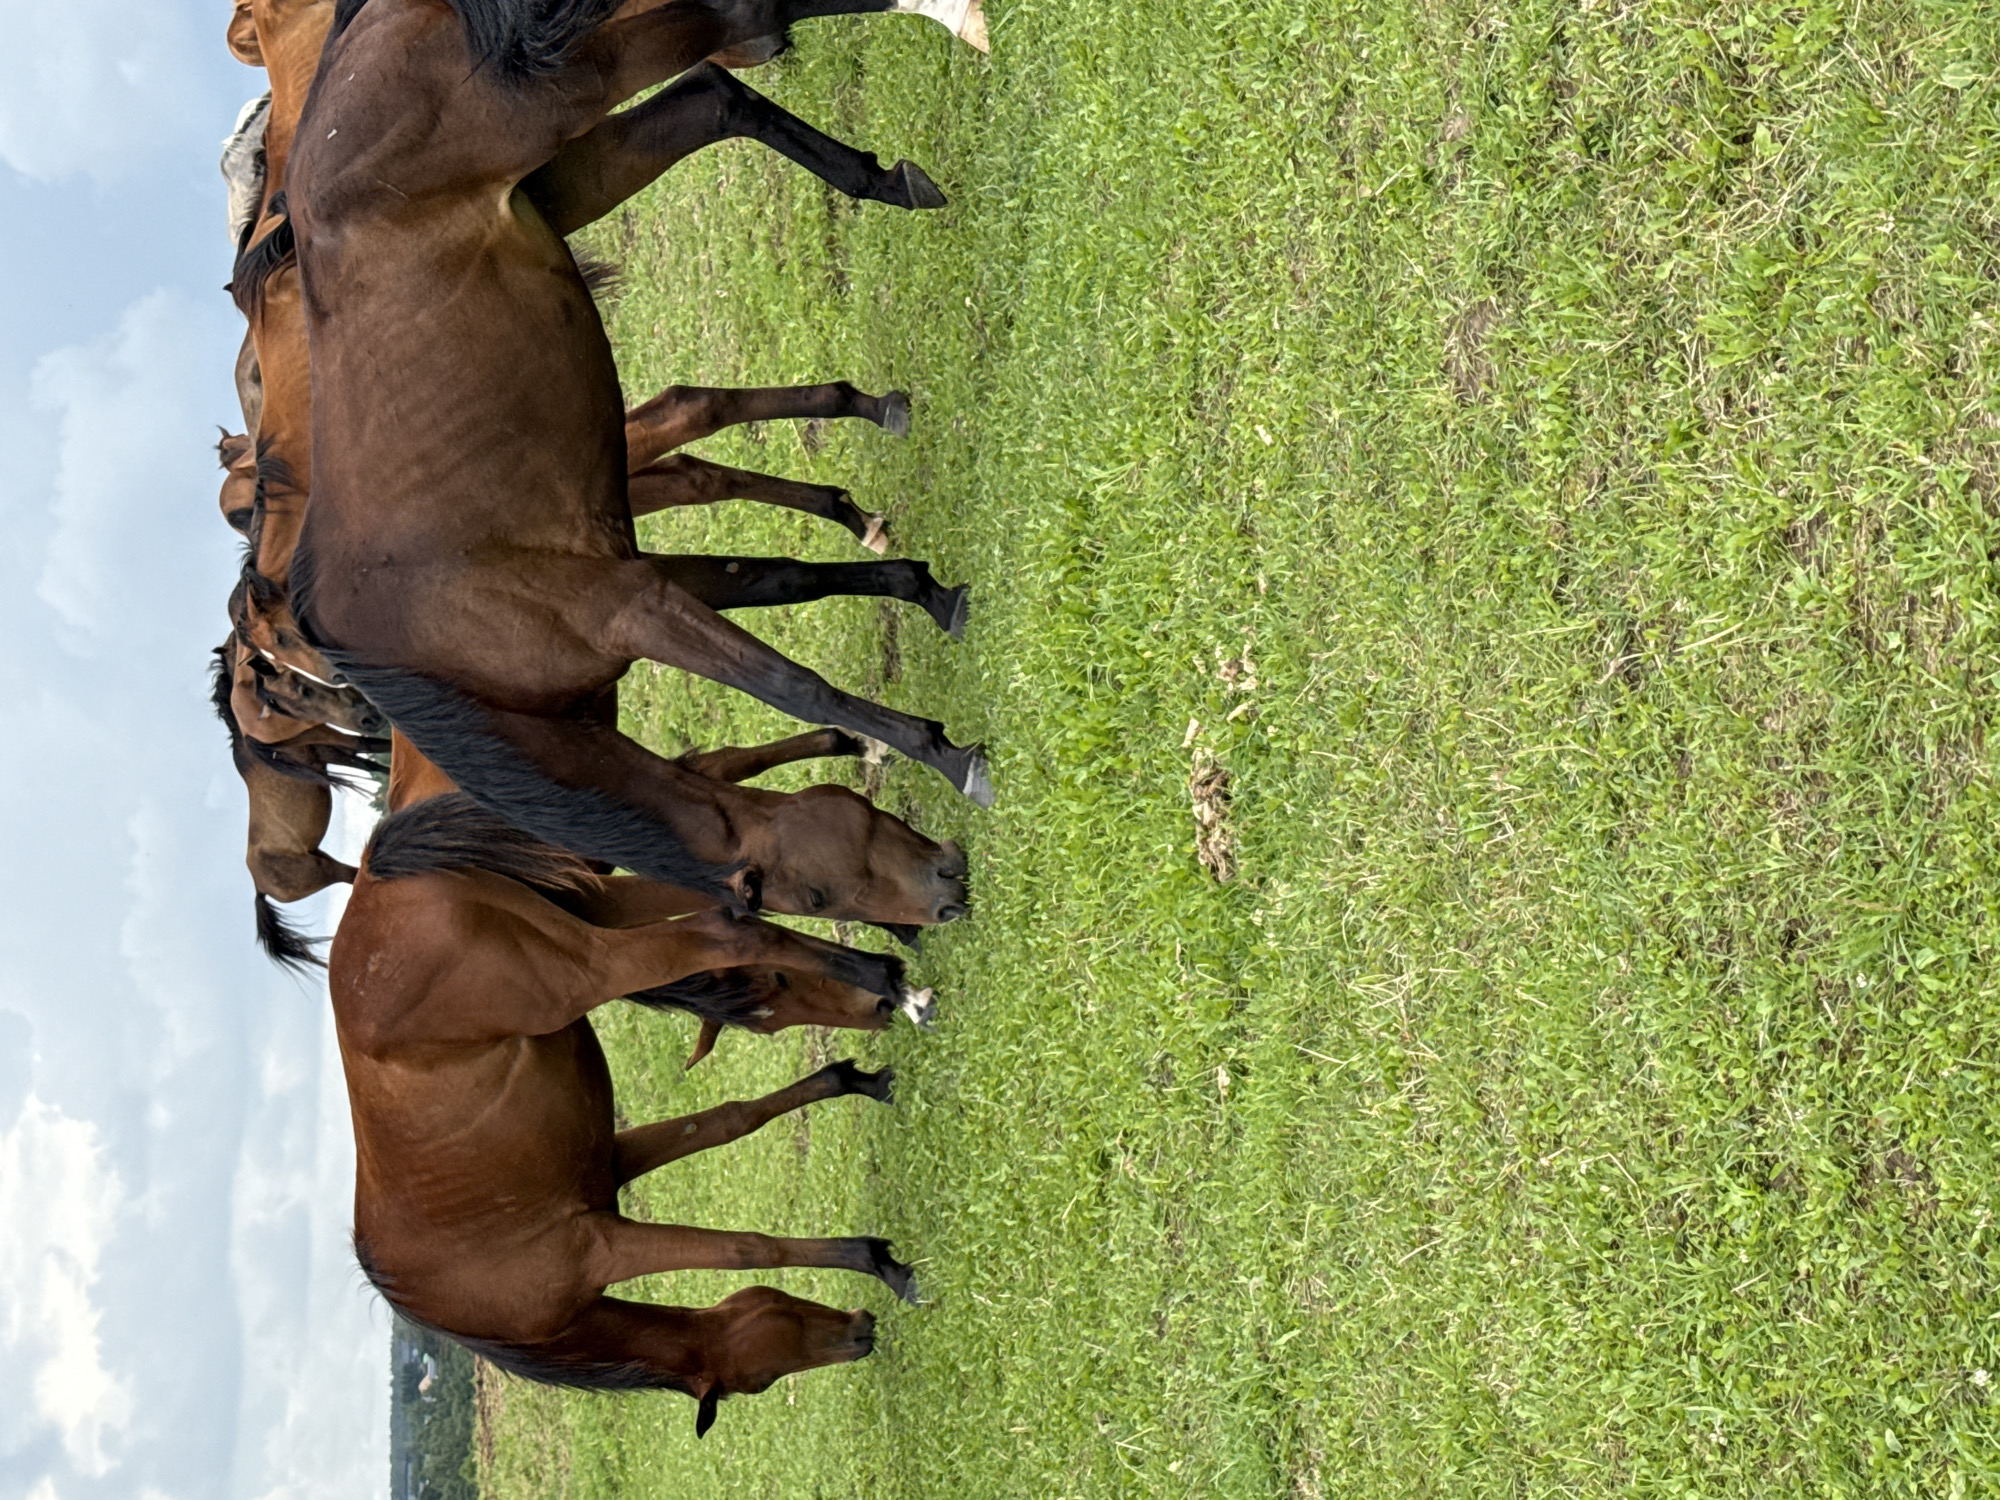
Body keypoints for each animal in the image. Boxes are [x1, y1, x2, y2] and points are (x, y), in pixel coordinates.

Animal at [284, 0, 995, 927]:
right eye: (815, 895)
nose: (947, 896)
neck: (450, 657)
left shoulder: (632, 607)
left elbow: (792, 683)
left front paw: (946, 753)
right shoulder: (646, 579)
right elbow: (787, 579)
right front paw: (926, 590)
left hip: (565, 90)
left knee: (736, 24)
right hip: (572, 164)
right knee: (713, 95)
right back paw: (890, 183)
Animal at [336, 777, 931, 1433]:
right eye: (763, 1380)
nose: (860, 1334)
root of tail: (375, 873)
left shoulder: (604, 1243)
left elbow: (742, 1242)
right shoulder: (609, 1196)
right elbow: (734, 1146)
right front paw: (856, 1088)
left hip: (586, 959)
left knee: (729, 924)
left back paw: (889, 968)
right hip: (592, 921)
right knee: (730, 906)